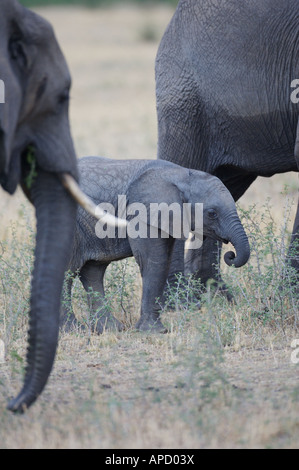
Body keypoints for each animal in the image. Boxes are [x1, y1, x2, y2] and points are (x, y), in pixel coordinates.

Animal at [61, 158, 251, 334]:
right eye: (212, 214)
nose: (230, 255)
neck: (183, 175)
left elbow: (163, 262)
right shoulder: (142, 215)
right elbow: (154, 263)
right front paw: (155, 332)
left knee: (93, 271)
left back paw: (111, 329)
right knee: (68, 271)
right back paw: (73, 330)